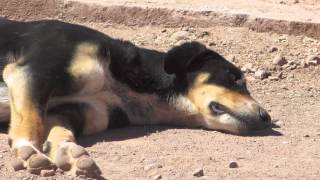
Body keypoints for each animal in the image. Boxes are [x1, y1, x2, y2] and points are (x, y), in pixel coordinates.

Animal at [0, 19, 272, 177]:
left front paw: (72, 154)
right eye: (233, 77)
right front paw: (28, 150)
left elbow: (60, 131)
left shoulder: (75, 111)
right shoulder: (34, 72)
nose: (266, 118)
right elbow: (31, 121)